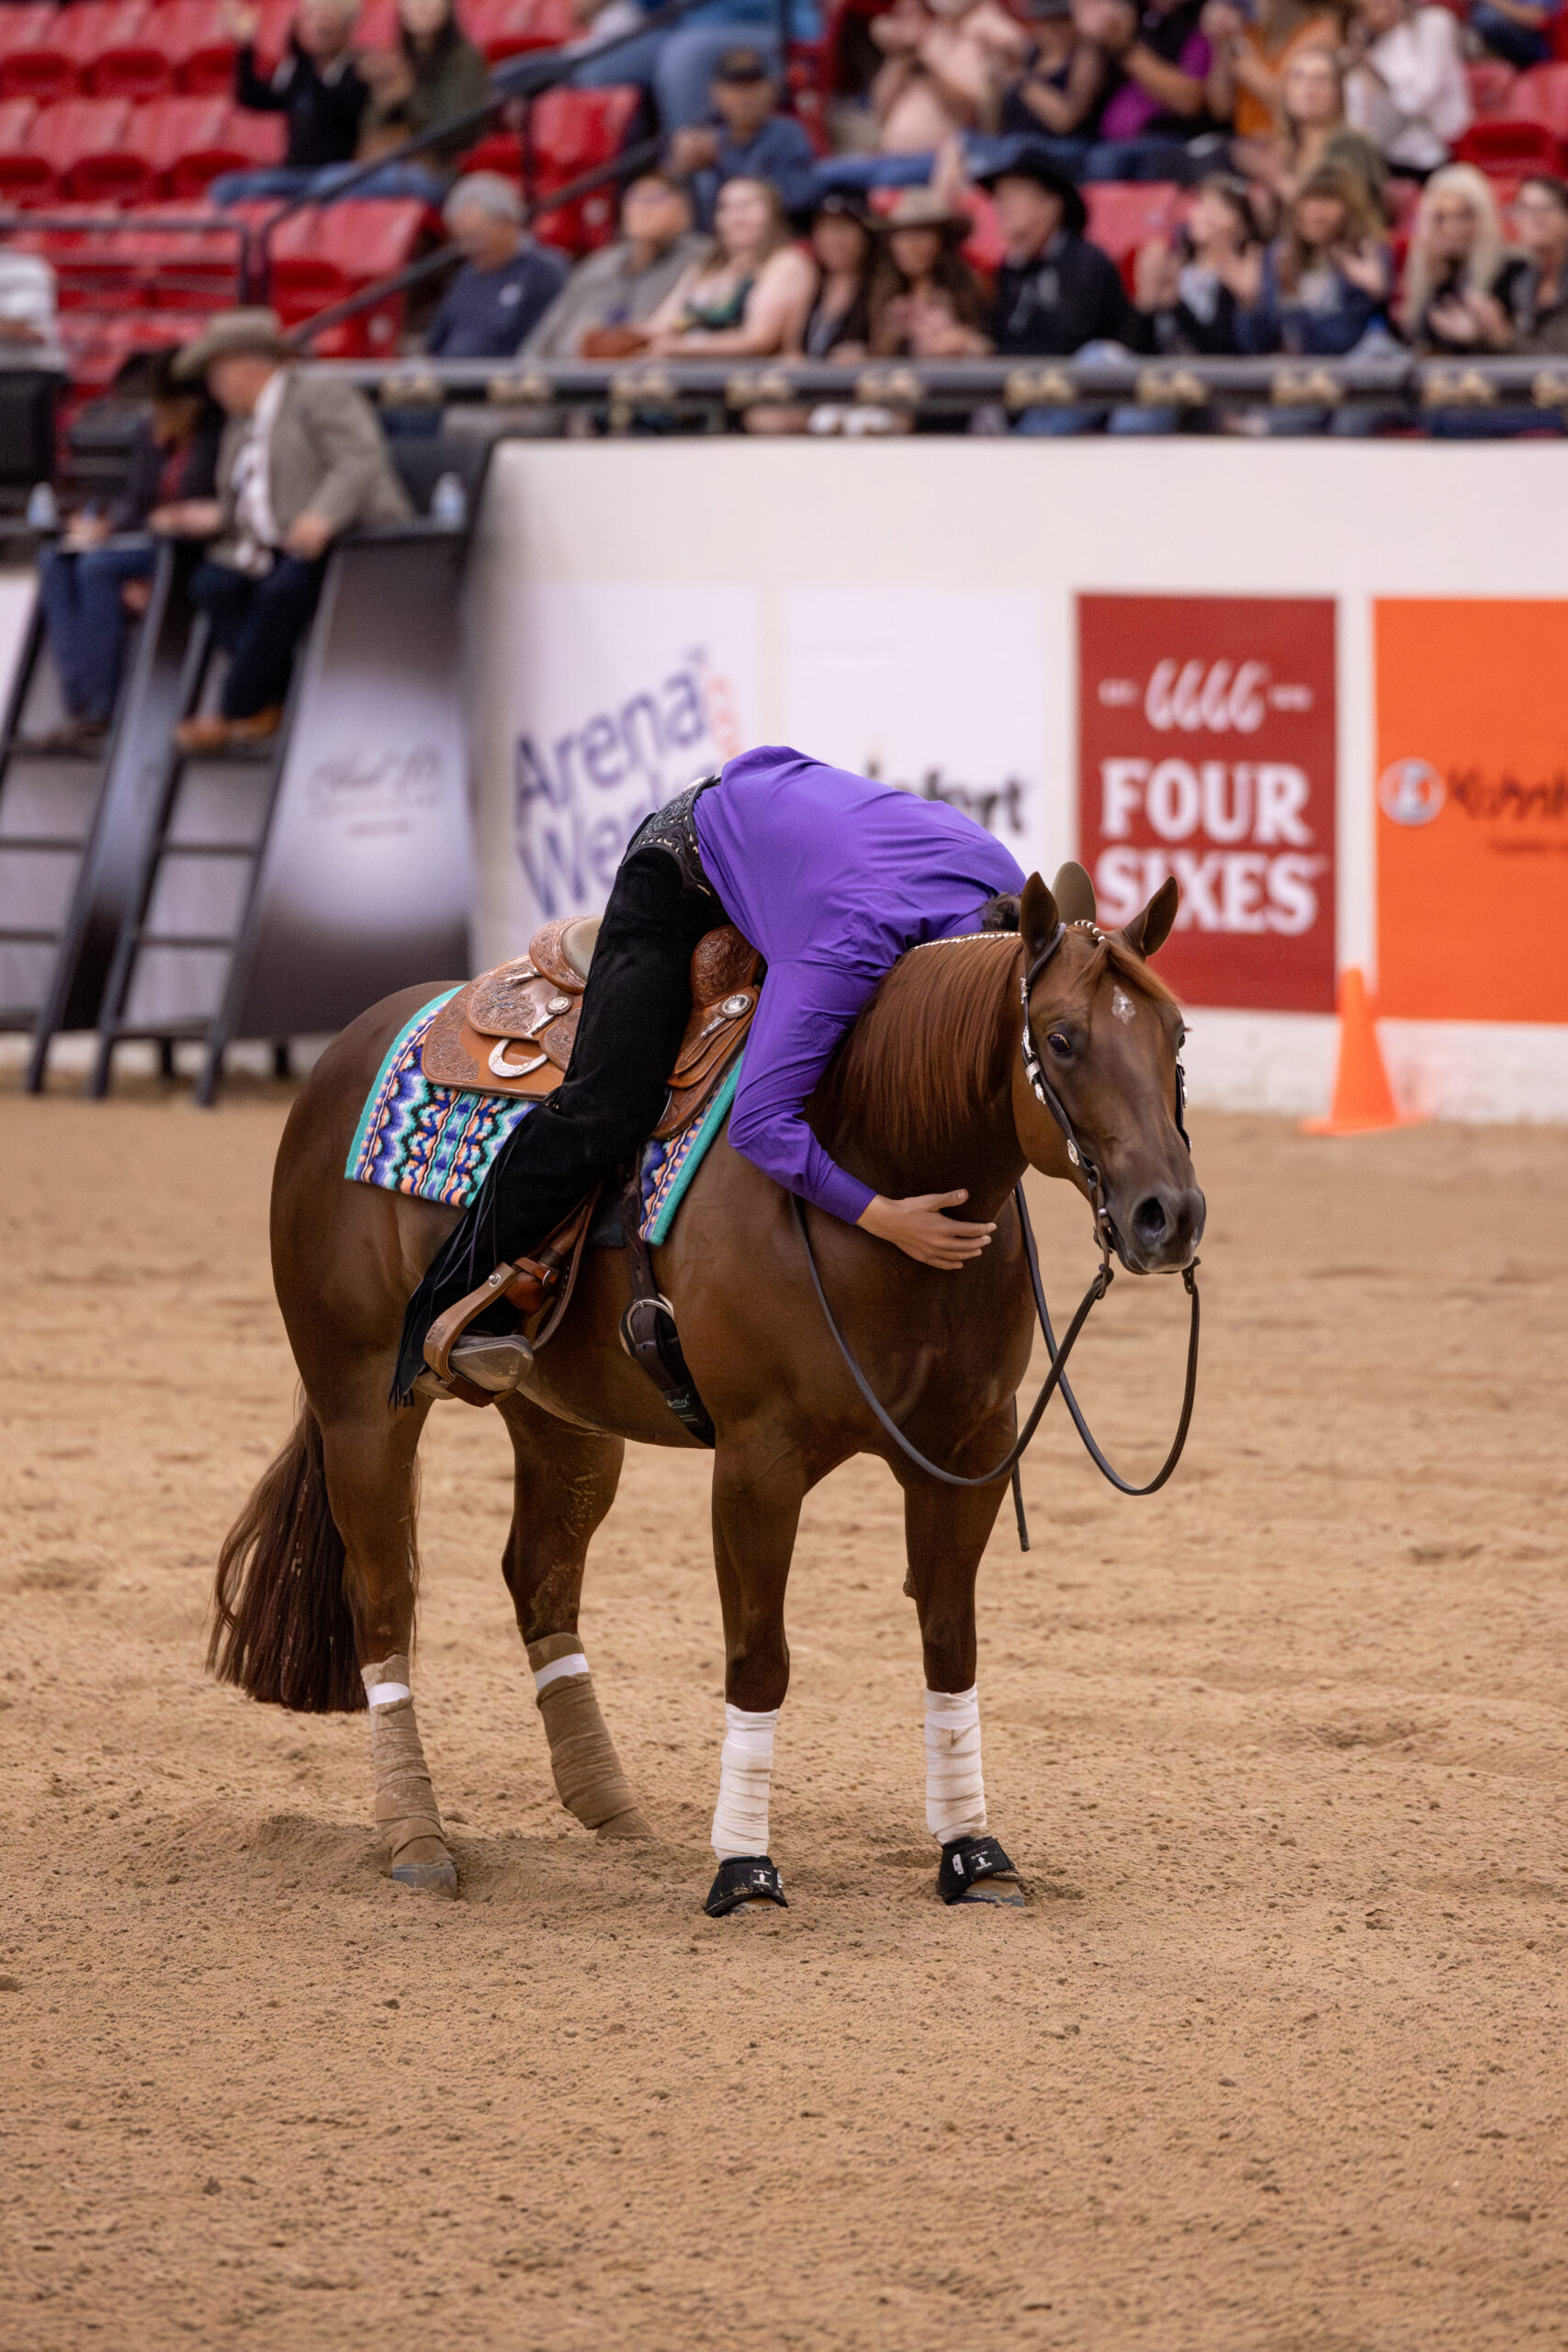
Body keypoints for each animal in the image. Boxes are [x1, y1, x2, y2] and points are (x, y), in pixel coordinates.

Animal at [210, 868, 1204, 1911]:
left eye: (1175, 1033)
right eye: (1062, 1038)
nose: (1167, 1215)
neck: (873, 1156)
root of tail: (348, 1043)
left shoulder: (965, 1452)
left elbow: (948, 1640)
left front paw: (973, 1853)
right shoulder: (758, 1459)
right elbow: (758, 1658)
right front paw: (744, 1867)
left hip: (564, 1420)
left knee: (540, 1578)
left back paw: (614, 1811)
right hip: (361, 1401)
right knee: (384, 1600)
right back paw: (416, 1836)